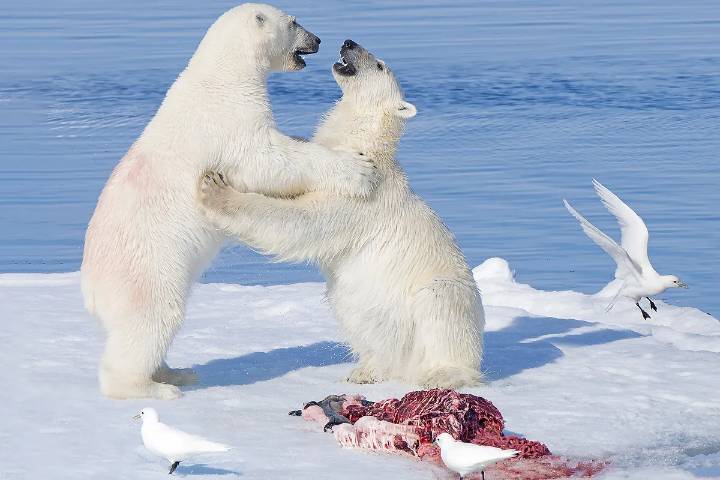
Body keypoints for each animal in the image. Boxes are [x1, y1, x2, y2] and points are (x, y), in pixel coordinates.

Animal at [81, 4, 377, 400]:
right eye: (293, 22)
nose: (317, 39)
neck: (221, 77)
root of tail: (90, 289)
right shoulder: (228, 122)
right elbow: (268, 160)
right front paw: (358, 169)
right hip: (144, 271)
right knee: (152, 321)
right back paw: (153, 388)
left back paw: (177, 372)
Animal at [197, 40, 484, 389]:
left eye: (379, 65)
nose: (349, 43)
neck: (361, 145)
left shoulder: (360, 196)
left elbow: (301, 222)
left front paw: (215, 190)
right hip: (362, 315)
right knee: (352, 312)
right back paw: (365, 371)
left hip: (445, 296)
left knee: (440, 307)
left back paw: (442, 374)